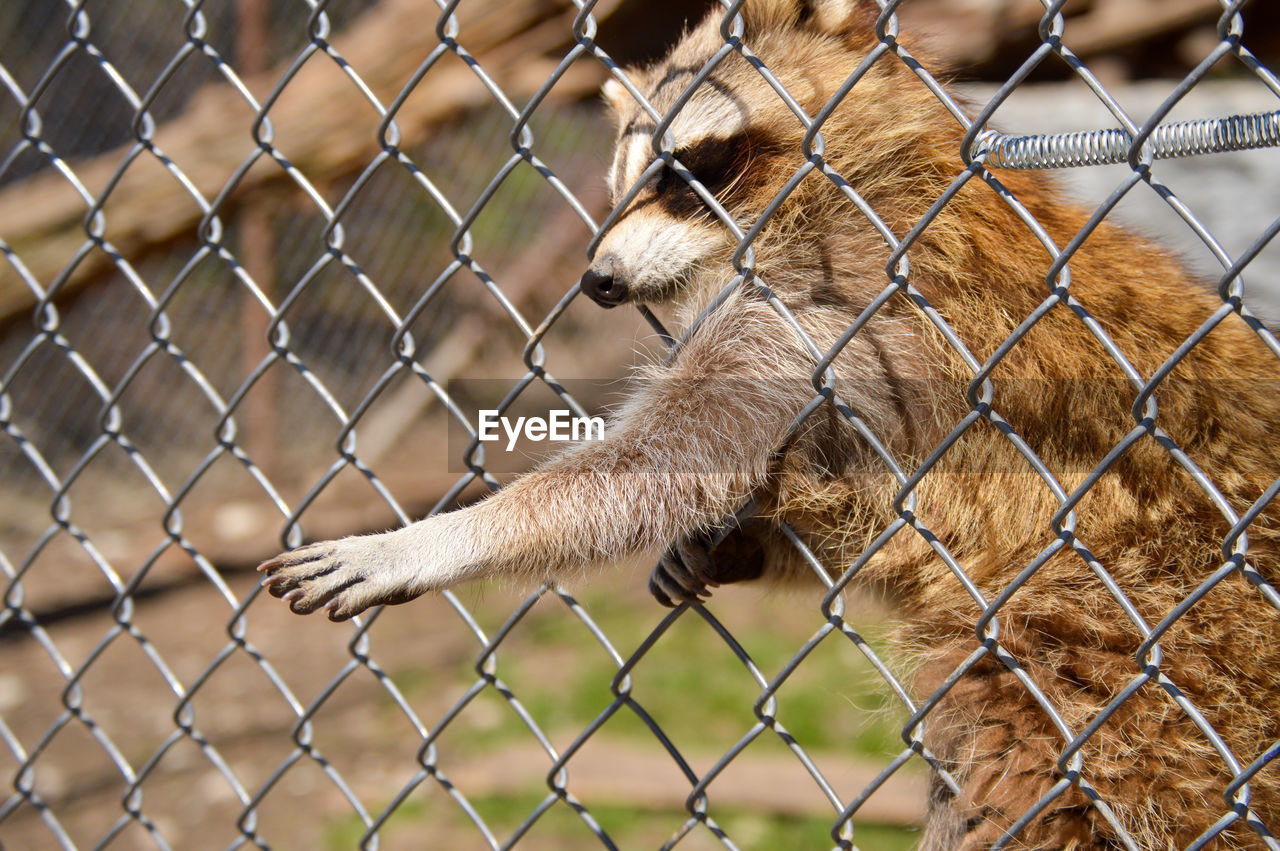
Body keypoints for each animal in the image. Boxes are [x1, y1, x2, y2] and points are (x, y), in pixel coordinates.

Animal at [259, 3, 1280, 844]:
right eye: (622, 184)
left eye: (683, 174)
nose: (598, 281)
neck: (851, 177)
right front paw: (739, 542)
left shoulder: (838, 309)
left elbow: (666, 459)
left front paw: (441, 536)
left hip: (1130, 639)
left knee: (1037, 765)